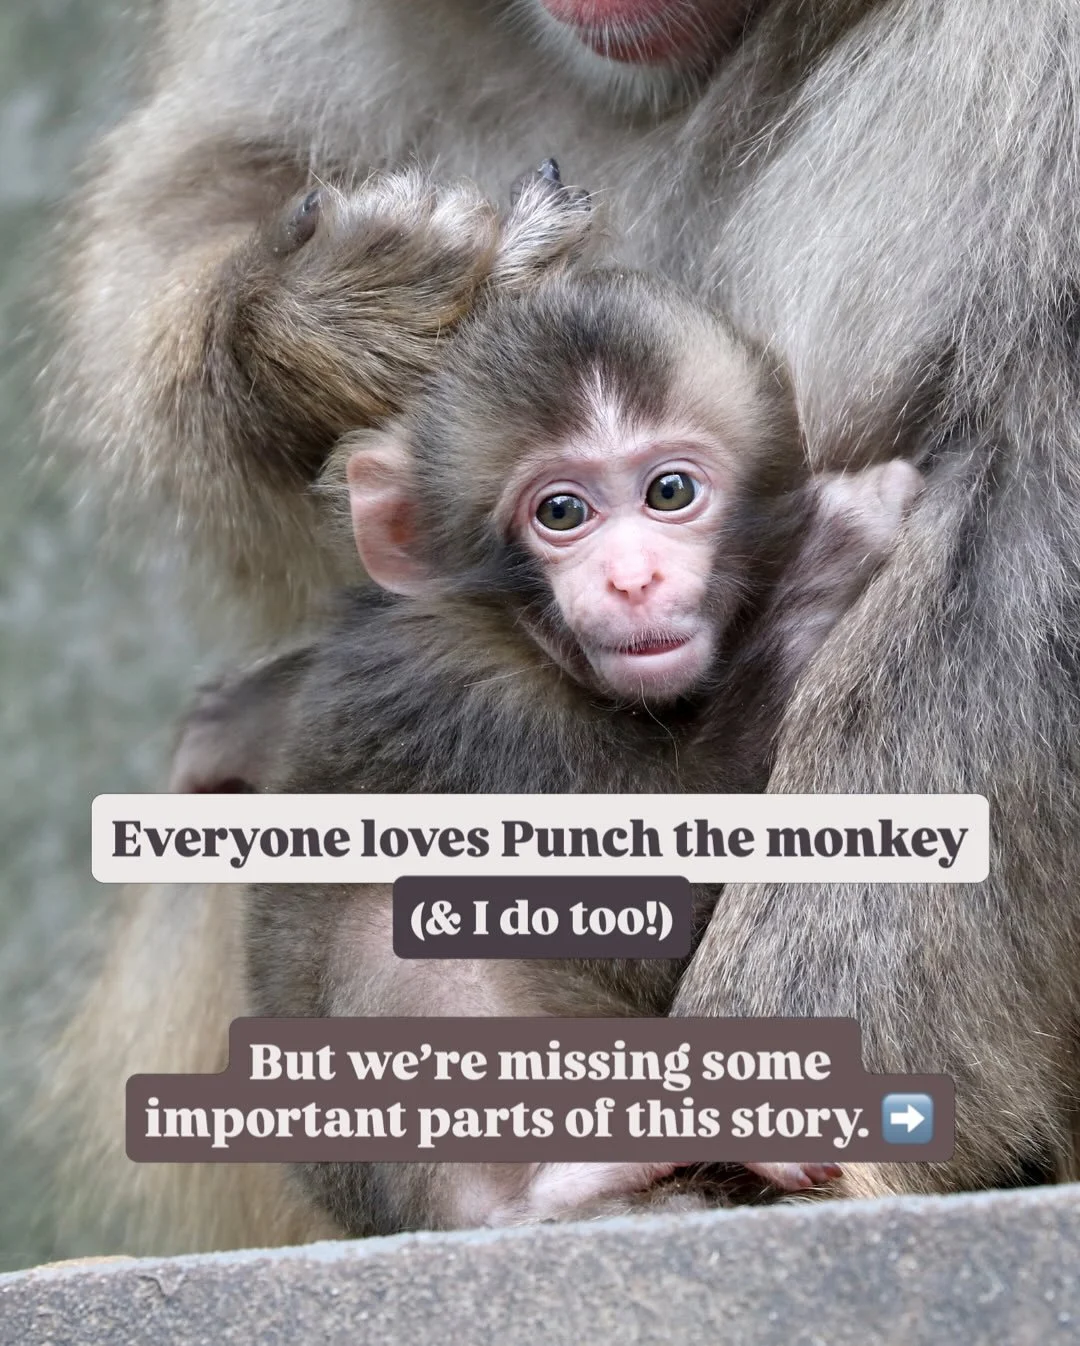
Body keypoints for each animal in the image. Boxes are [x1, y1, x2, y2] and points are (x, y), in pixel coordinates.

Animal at [148, 264, 920, 1235]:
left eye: (670, 493)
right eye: (561, 511)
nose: (633, 578)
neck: (522, 640)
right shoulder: (471, 705)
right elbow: (653, 916)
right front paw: (837, 543)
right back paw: (536, 1188)